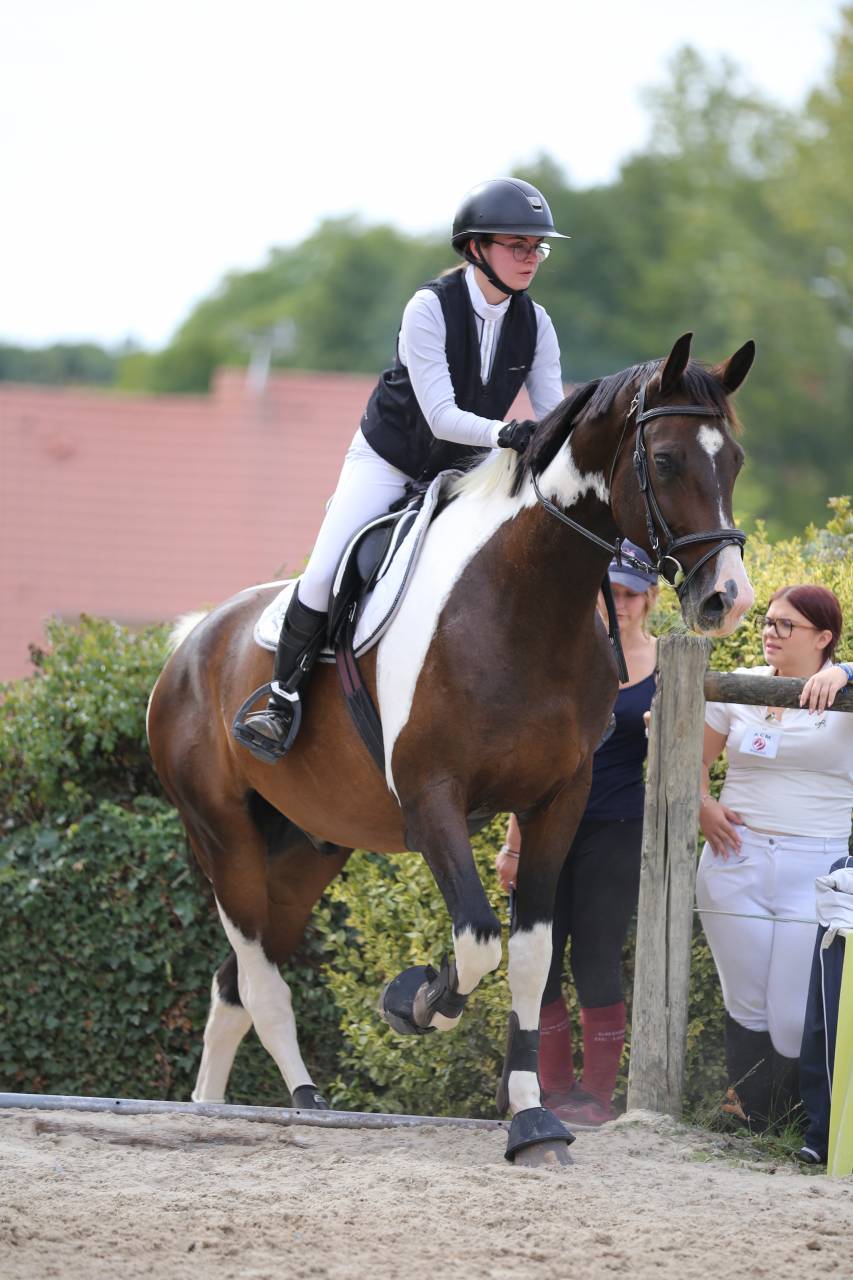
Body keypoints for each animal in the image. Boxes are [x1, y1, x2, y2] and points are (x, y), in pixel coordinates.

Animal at [147, 332, 756, 1165]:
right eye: (663, 461)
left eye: (734, 461)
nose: (726, 598)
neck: (524, 601)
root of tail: (191, 641)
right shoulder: (431, 797)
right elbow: (475, 942)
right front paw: (415, 1001)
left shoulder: (557, 799)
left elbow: (530, 955)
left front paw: (532, 1119)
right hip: (224, 835)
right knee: (260, 975)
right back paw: (301, 1100)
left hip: (308, 847)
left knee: (235, 980)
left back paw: (215, 1107)